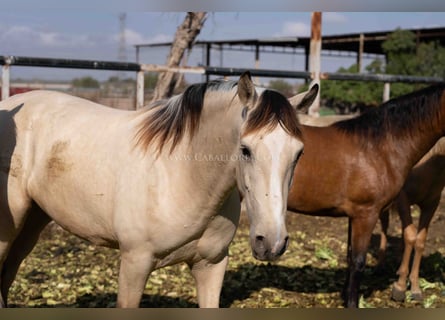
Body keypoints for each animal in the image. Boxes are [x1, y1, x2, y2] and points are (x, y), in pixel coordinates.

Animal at [376, 138, 444, 302]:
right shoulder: (403, 197)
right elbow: (411, 236)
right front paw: (400, 288)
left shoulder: (432, 203)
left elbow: (420, 240)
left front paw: (415, 288)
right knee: (385, 224)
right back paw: (380, 265)